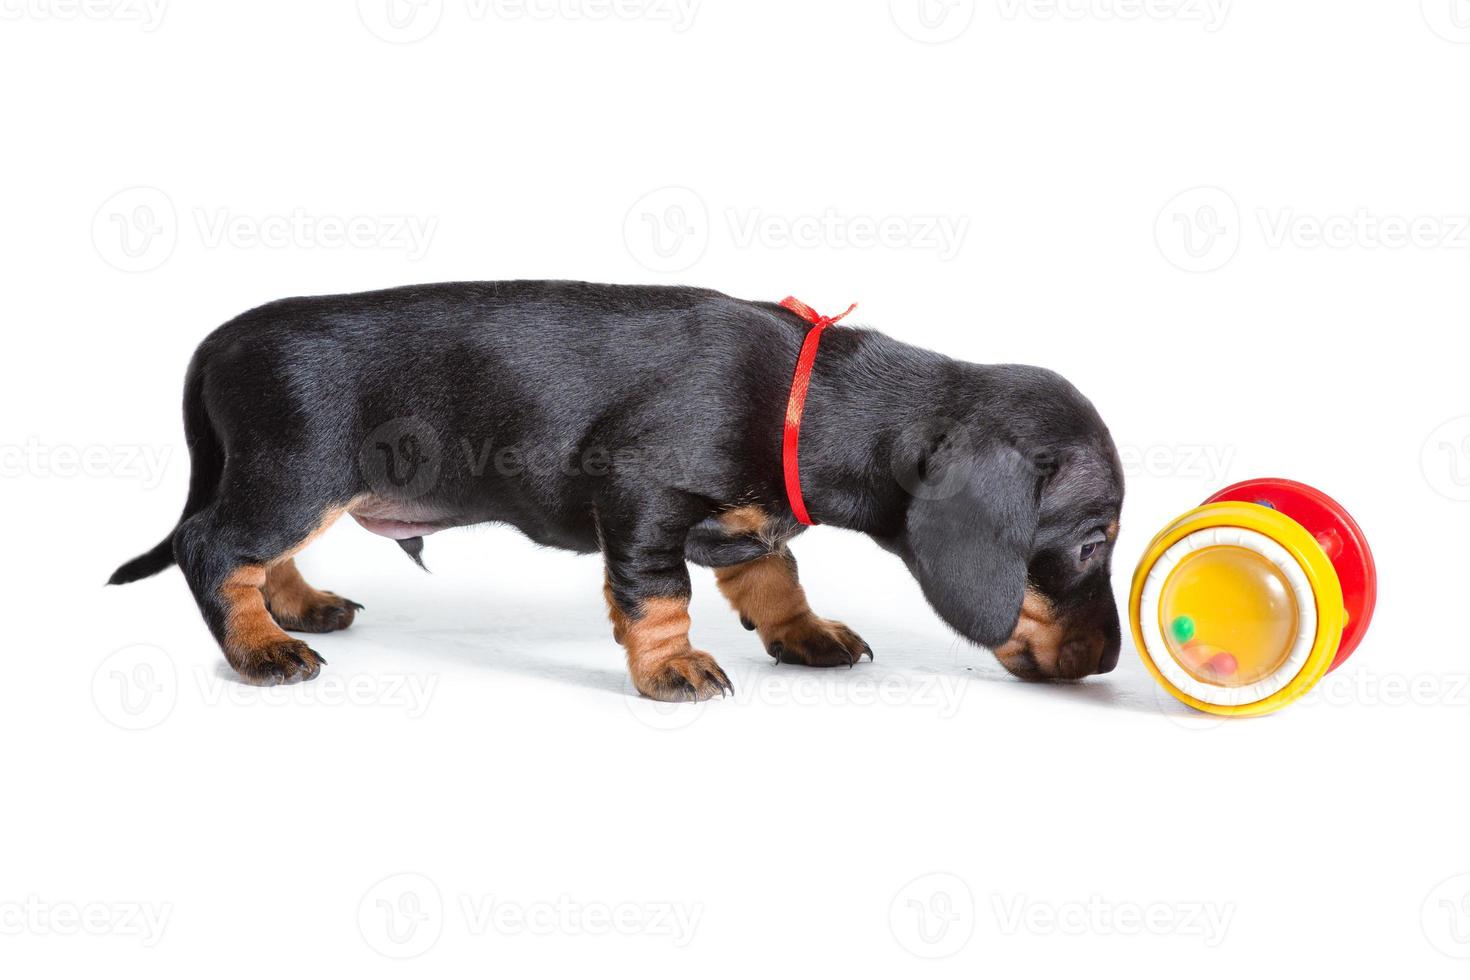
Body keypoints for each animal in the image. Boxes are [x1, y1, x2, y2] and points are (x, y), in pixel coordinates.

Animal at [108, 279, 1123, 702]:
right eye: (1091, 543)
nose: (1109, 662)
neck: (816, 397)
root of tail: (222, 339)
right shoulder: (642, 498)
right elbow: (658, 596)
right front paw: (672, 669)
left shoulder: (745, 524)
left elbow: (774, 577)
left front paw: (805, 635)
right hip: (298, 474)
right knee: (214, 547)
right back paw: (260, 649)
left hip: (298, 485)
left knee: (260, 555)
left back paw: (298, 609)